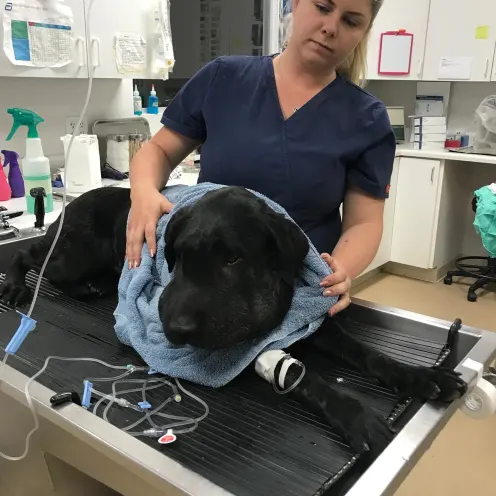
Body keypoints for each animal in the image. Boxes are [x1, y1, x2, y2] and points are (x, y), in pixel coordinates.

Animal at [0, 187, 466, 458]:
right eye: (178, 256)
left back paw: (91, 288)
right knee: (28, 255)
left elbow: (367, 352)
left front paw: (421, 375)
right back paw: (18, 286)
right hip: (74, 253)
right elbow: (310, 379)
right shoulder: (241, 351)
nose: (175, 330)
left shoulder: (311, 322)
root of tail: (73, 201)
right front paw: (356, 415)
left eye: (233, 258)